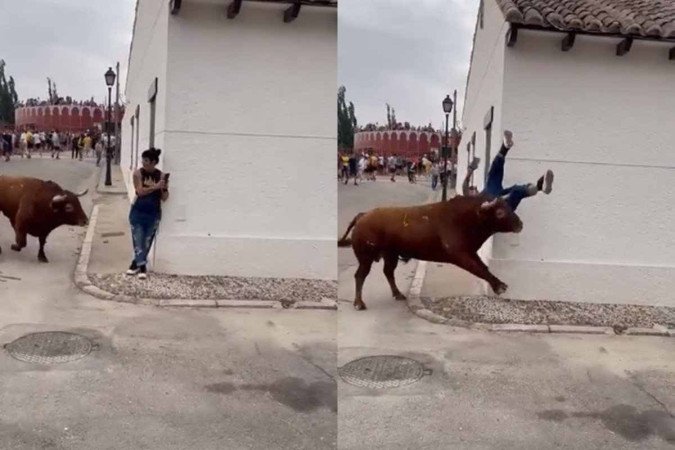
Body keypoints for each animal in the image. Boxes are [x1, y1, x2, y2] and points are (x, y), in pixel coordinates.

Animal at [340, 196, 524, 310]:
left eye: (508, 207)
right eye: (500, 212)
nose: (520, 224)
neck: (466, 218)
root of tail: (363, 215)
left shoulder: (471, 253)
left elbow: (483, 267)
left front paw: (499, 284)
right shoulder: (461, 256)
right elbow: (480, 269)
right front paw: (499, 287)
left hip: (390, 255)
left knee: (388, 272)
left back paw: (398, 294)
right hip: (366, 258)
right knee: (360, 275)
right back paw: (359, 303)